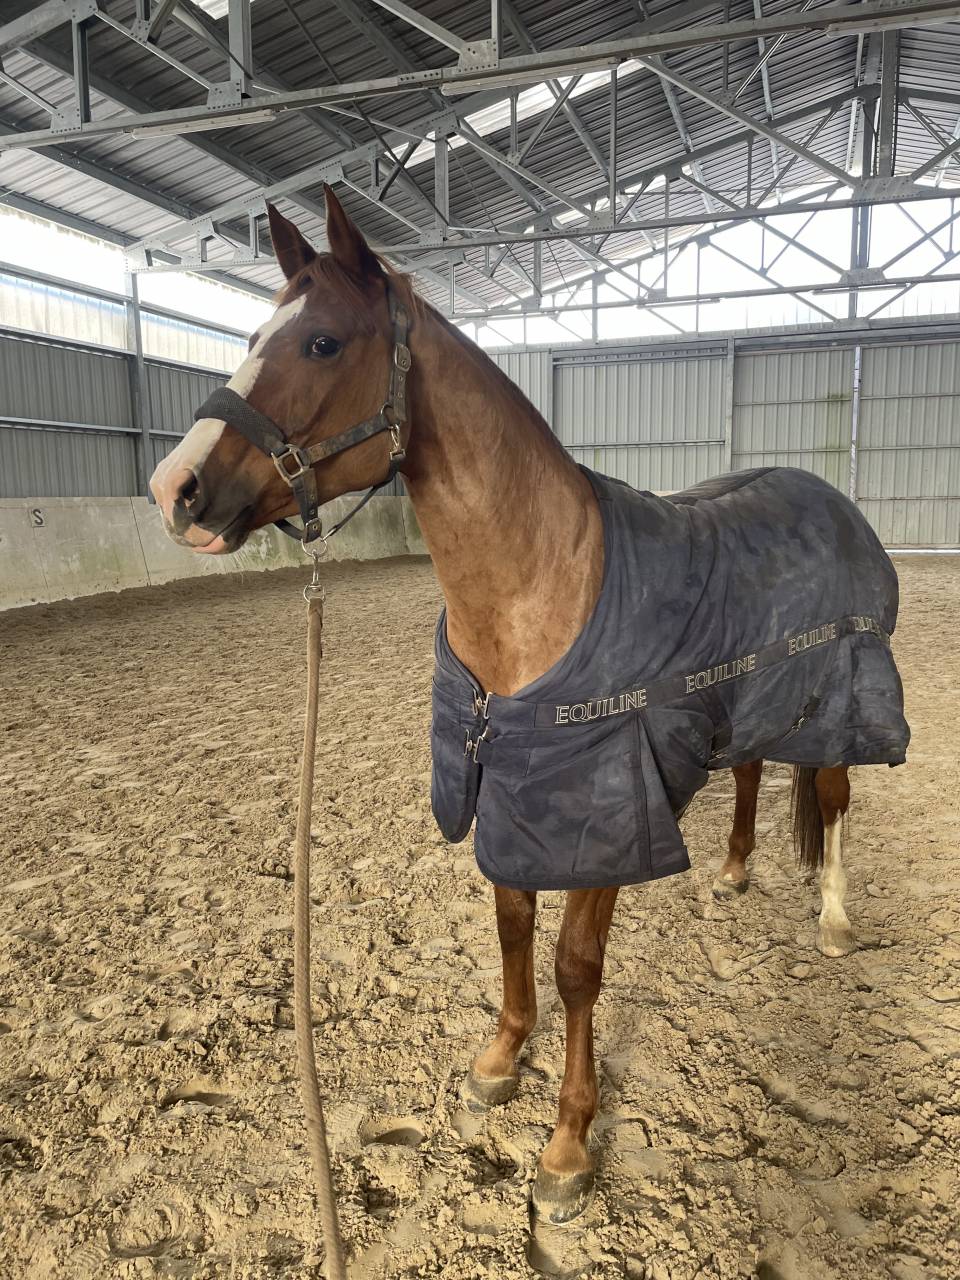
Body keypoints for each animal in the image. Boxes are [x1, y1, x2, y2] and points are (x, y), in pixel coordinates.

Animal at [149, 188, 908, 1225]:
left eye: (321, 342)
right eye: (254, 334)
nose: (175, 490)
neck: (542, 587)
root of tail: (827, 496)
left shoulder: (603, 813)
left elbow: (576, 966)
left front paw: (567, 1146)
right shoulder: (504, 785)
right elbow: (511, 923)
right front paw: (499, 1061)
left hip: (838, 698)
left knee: (832, 797)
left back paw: (832, 921)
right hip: (749, 703)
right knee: (753, 770)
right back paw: (733, 873)